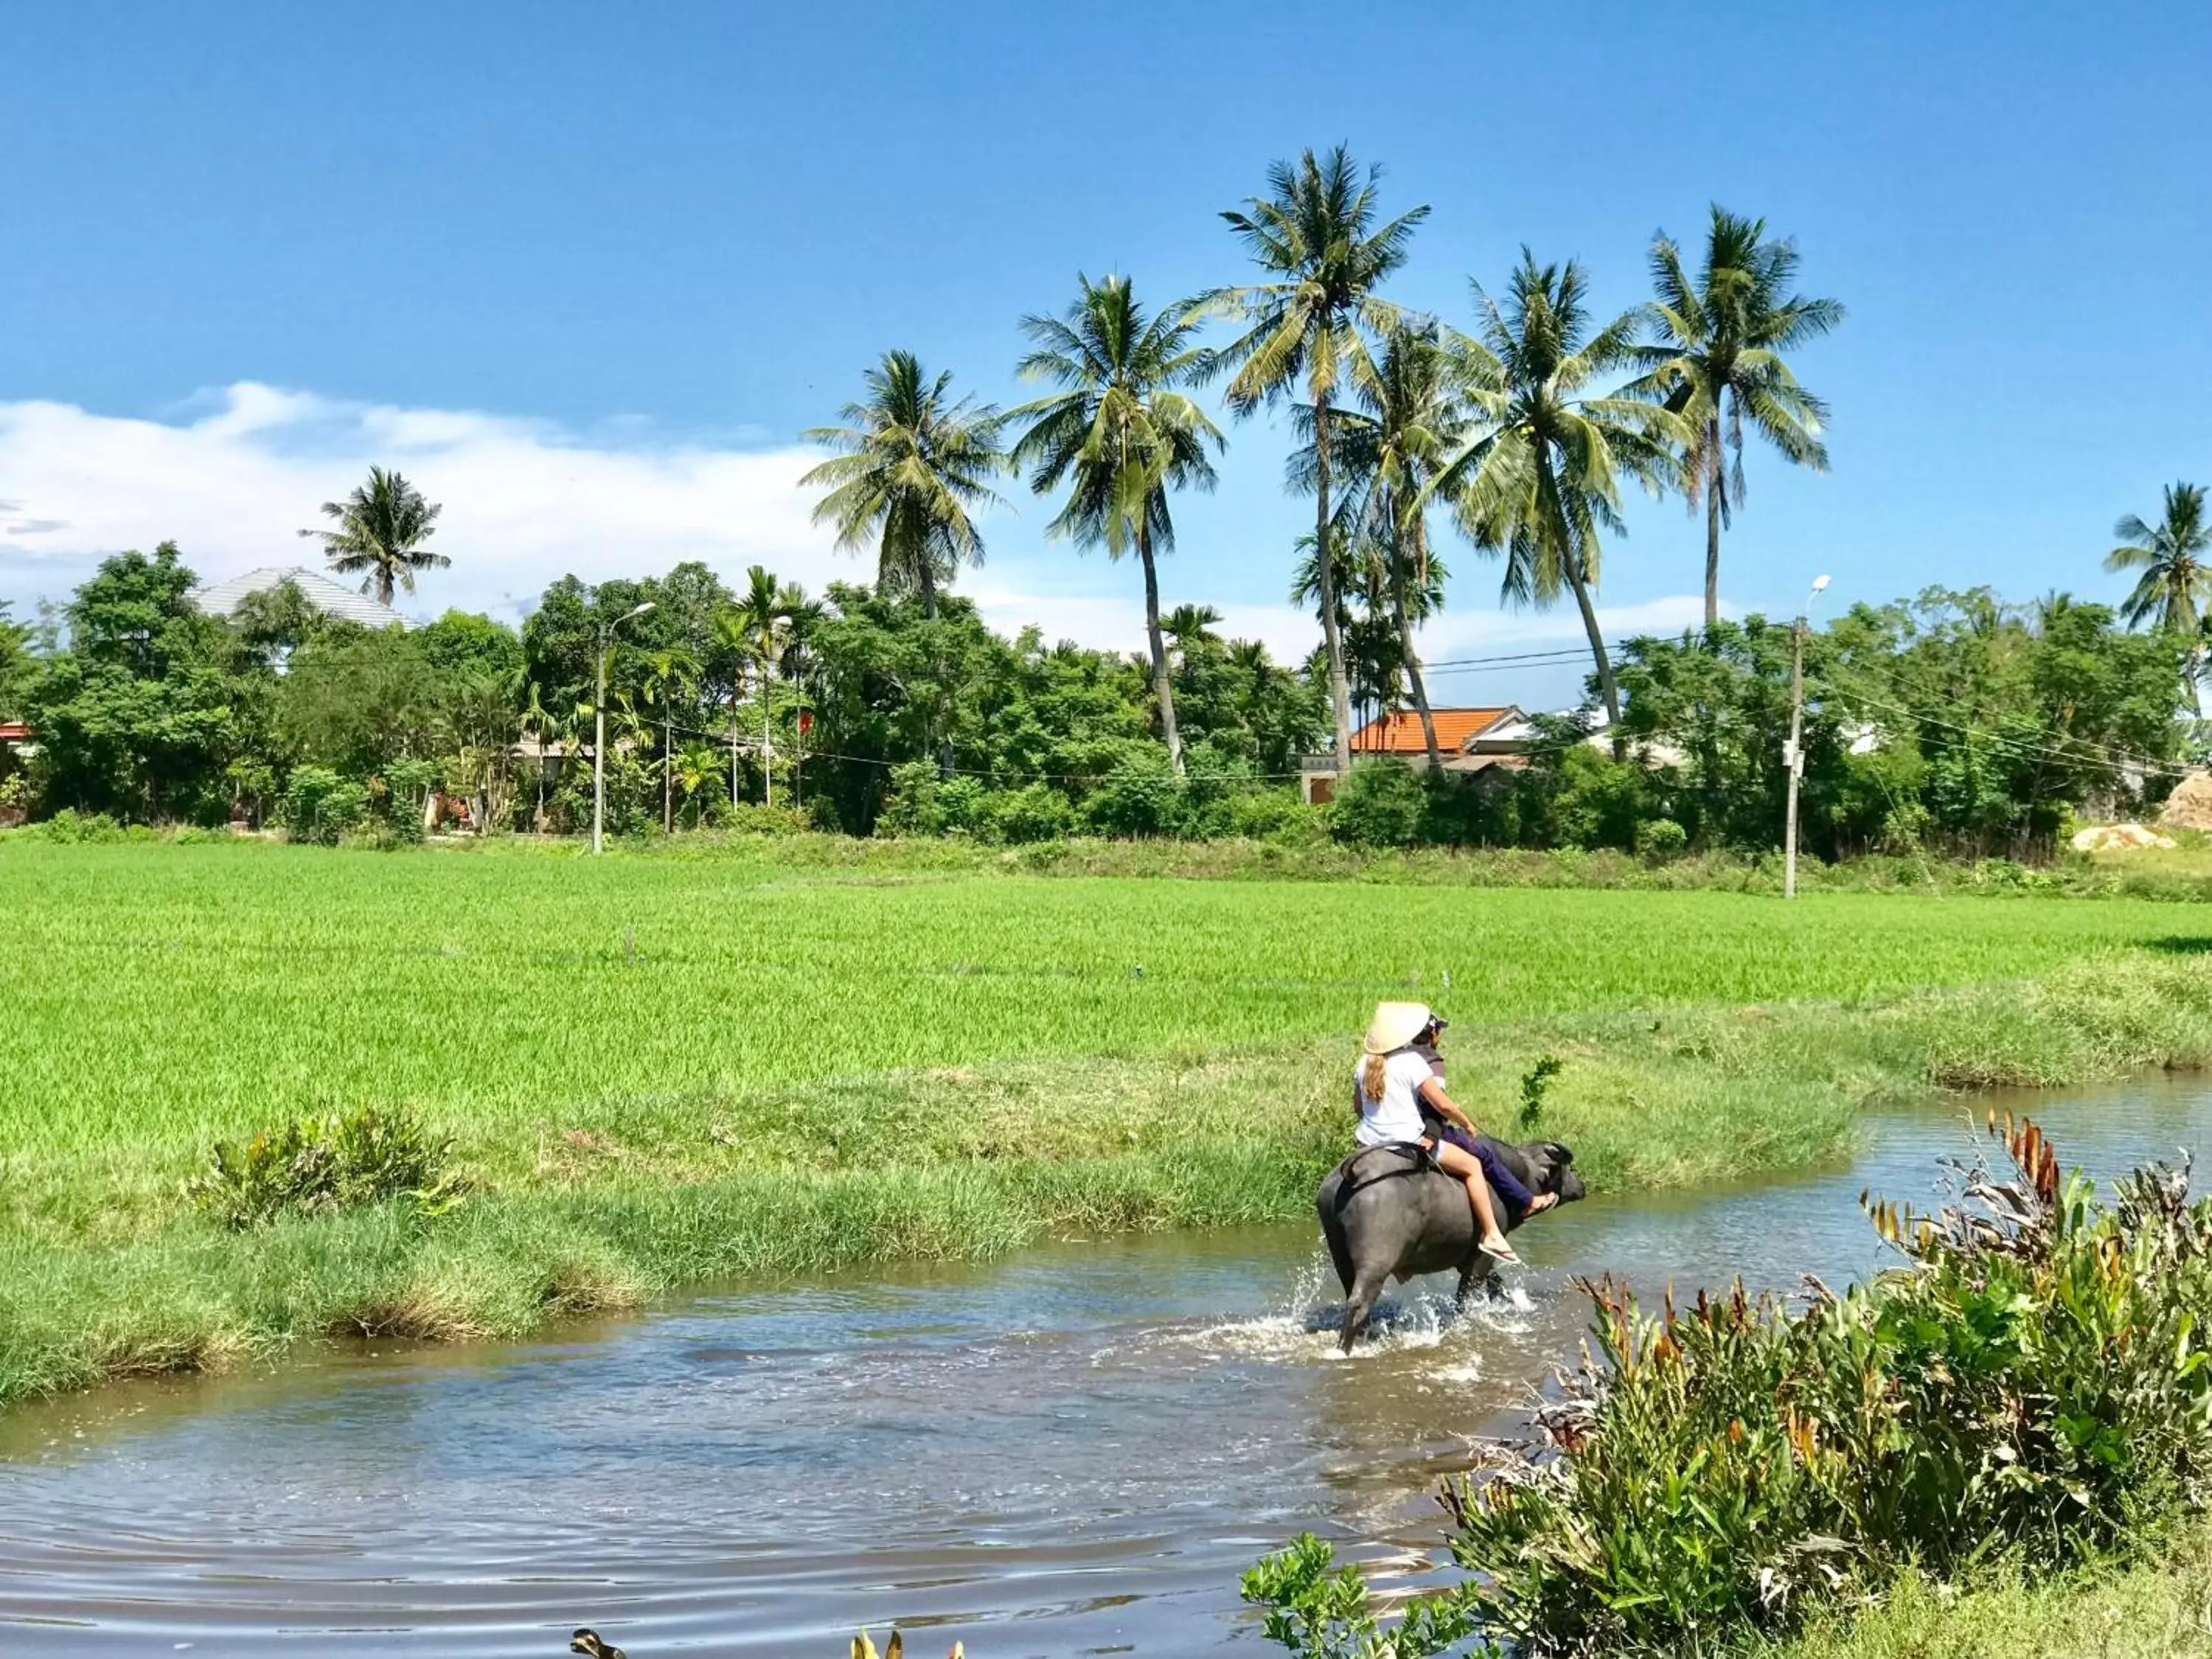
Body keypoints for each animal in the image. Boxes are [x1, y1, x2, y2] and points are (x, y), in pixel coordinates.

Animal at [1318, 1141, 1584, 1354]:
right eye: (1568, 1169)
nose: (1582, 1186)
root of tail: (1355, 1174)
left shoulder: (1476, 1258)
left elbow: (1498, 1285)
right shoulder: (1480, 1260)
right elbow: (1466, 1298)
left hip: (1341, 1257)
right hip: (1376, 1262)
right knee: (1359, 1302)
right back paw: (1344, 1350)